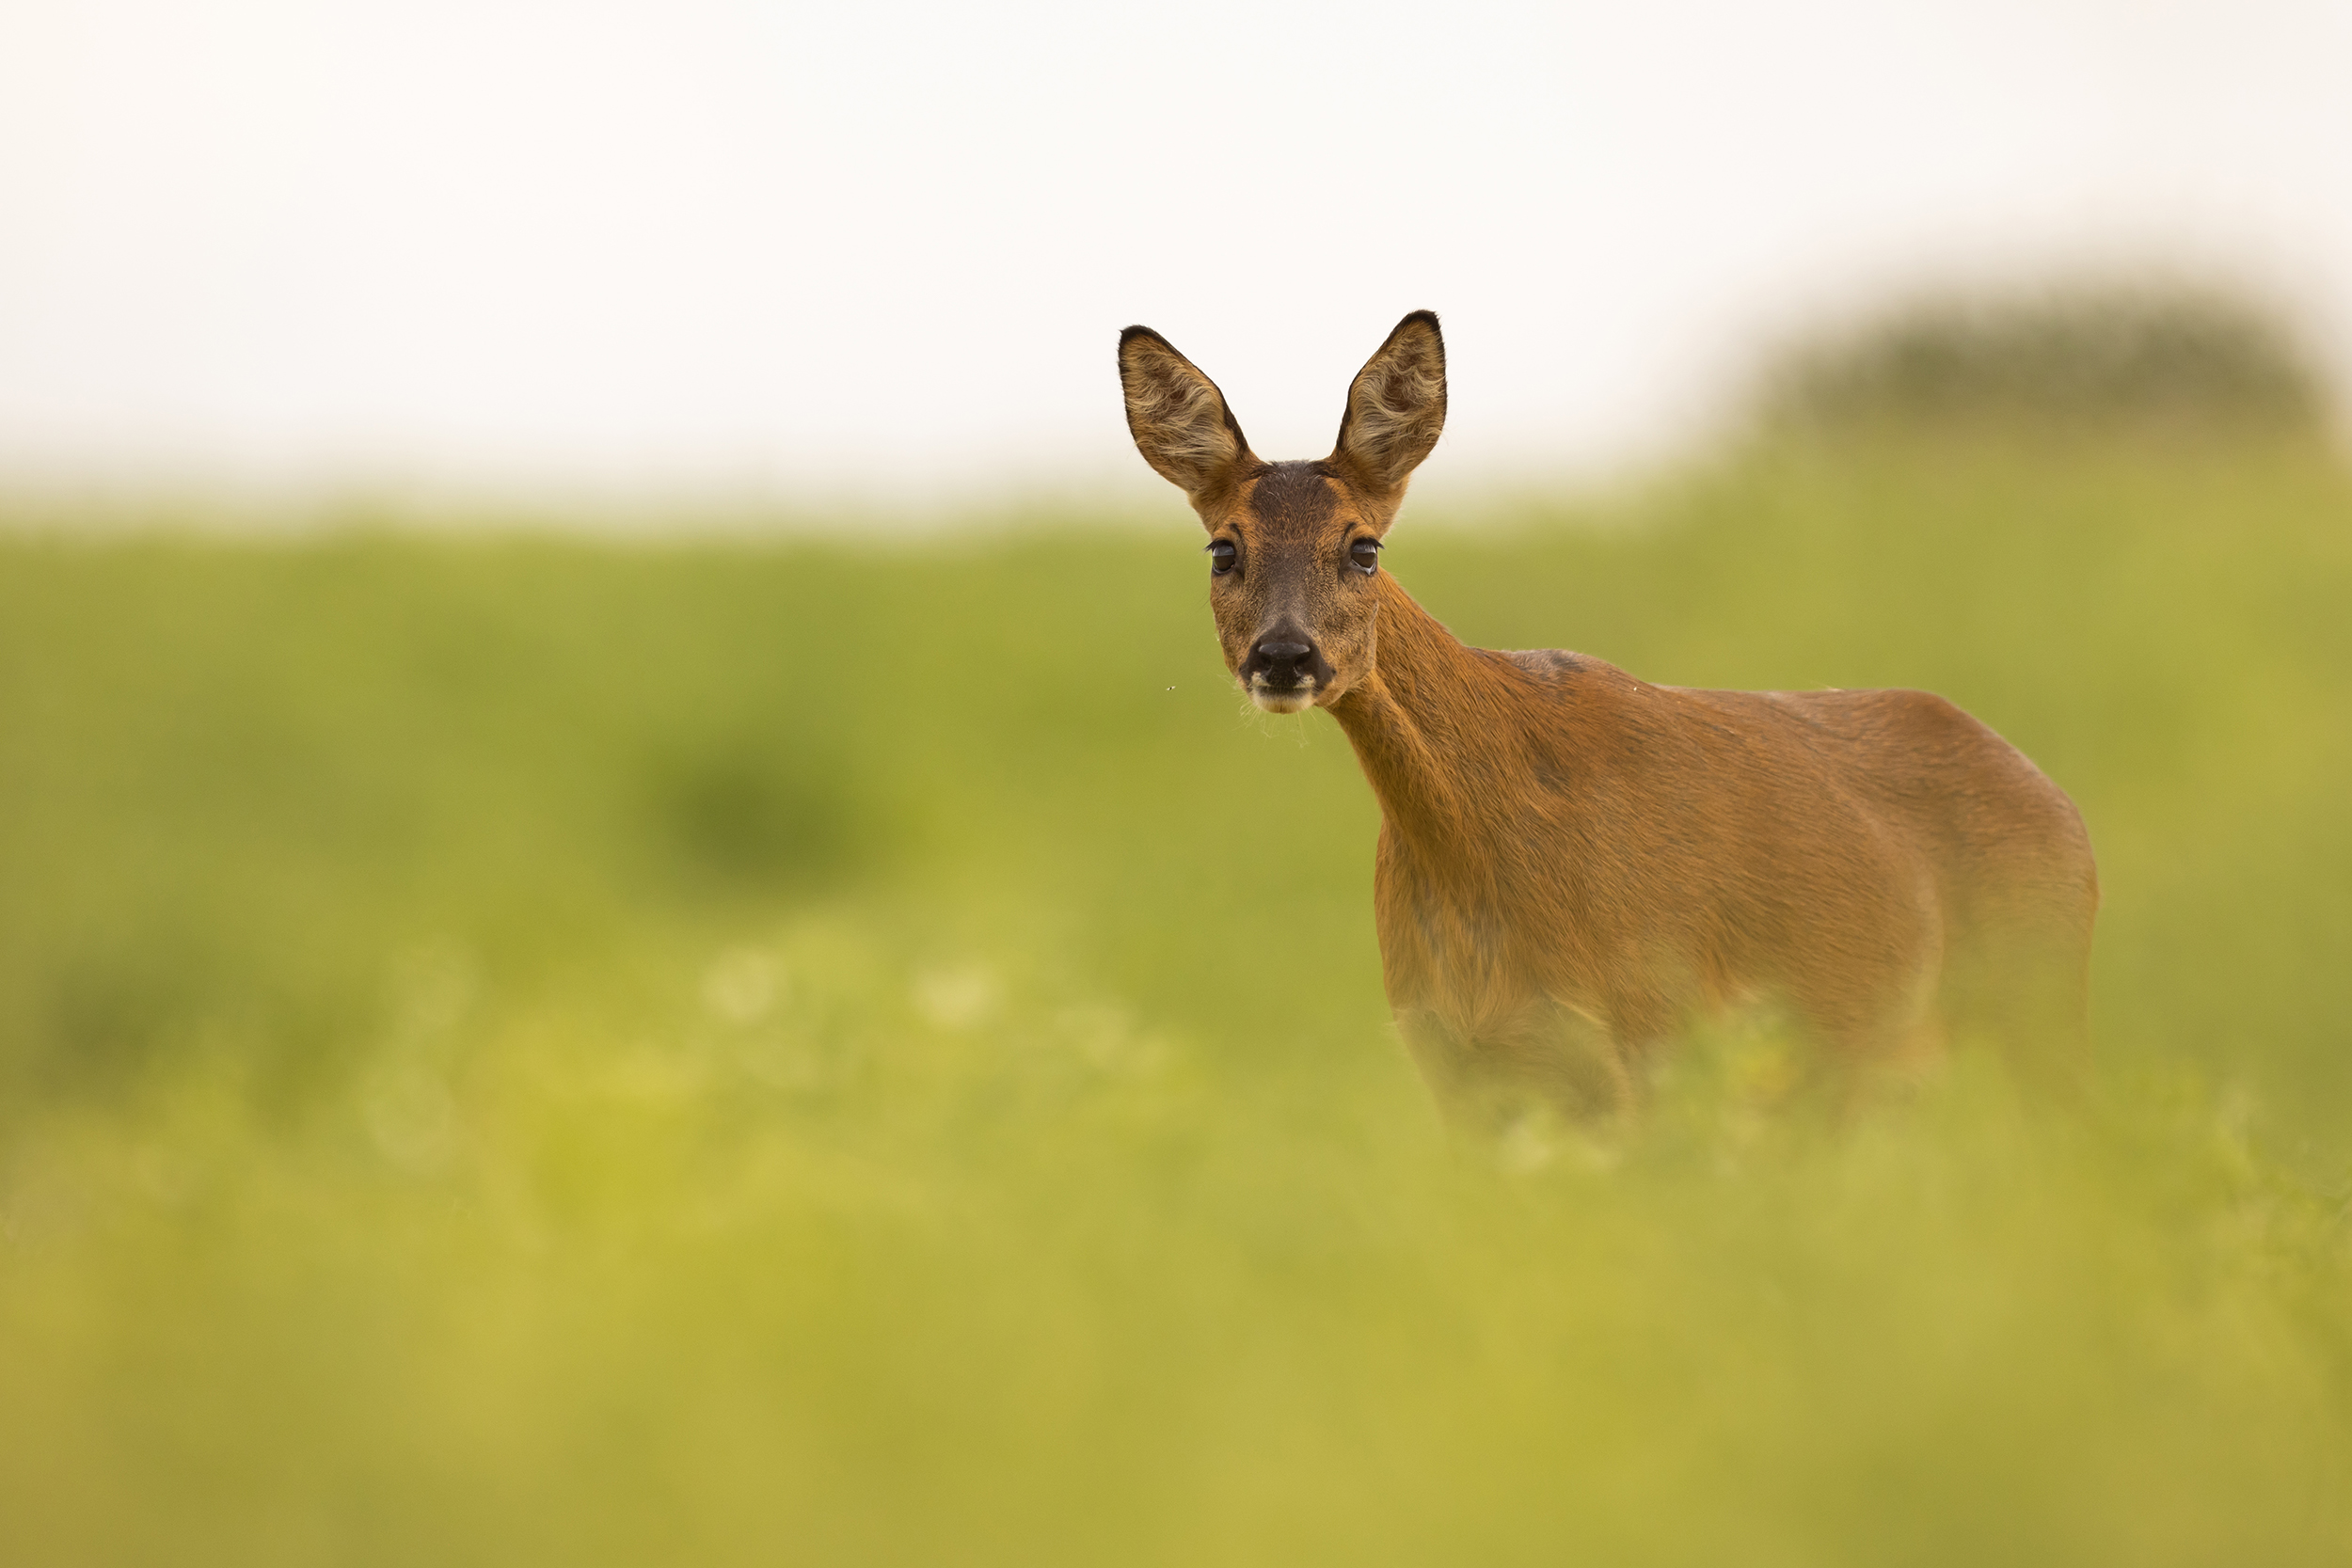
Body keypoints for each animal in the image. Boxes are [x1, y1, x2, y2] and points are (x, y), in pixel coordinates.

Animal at [1120, 305, 2098, 1123]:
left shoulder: (1654, 1031)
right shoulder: (1458, 1066)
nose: (1285, 656)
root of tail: (2066, 810)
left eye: (1363, 547)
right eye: (1223, 548)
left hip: (2037, 1007)